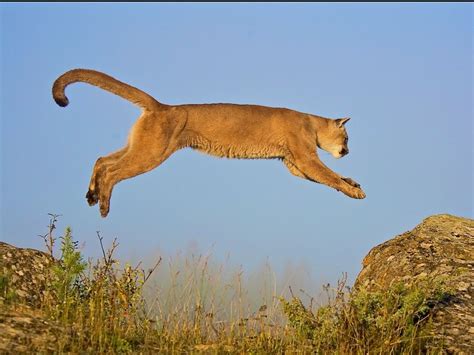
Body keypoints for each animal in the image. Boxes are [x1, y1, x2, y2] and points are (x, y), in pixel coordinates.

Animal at [52, 68, 366, 218]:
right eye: (347, 138)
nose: (348, 150)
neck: (312, 123)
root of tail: (162, 106)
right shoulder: (304, 158)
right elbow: (328, 175)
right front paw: (354, 192)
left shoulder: (294, 165)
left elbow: (329, 176)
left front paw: (353, 182)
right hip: (152, 152)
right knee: (113, 171)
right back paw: (103, 205)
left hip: (140, 145)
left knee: (101, 159)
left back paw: (91, 194)